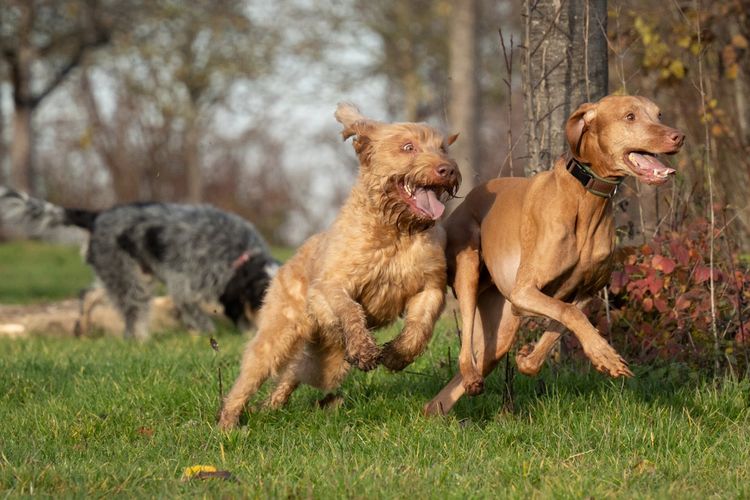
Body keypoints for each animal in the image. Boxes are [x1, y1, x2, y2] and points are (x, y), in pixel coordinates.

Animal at [1, 188, 280, 340]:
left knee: (88, 294)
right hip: (131, 280)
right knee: (132, 315)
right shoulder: (184, 284)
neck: (238, 253)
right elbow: (197, 313)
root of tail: (96, 217)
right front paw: (207, 332)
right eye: (262, 298)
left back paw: (84, 329)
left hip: (119, 273)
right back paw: (140, 340)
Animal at [217, 102, 462, 430]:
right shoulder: (333, 286)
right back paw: (228, 424)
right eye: (408, 147)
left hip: (327, 361)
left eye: (442, 148)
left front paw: (397, 355)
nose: (447, 169)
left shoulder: (430, 287)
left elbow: (420, 328)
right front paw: (363, 347)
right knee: (250, 376)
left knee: (294, 373)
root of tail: (285, 264)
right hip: (279, 334)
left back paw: (271, 406)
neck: (396, 231)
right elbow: (350, 309)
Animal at [426, 95, 684, 416]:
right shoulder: (525, 291)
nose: (678, 136)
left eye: (658, 114)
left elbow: (560, 325)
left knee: (466, 371)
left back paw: (434, 410)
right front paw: (606, 355)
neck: (585, 199)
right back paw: (470, 377)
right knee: (466, 344)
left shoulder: (584, 292)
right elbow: (569, 313)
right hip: (469, 268)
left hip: (501, 328)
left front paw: (528, 359)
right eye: (630, 116)